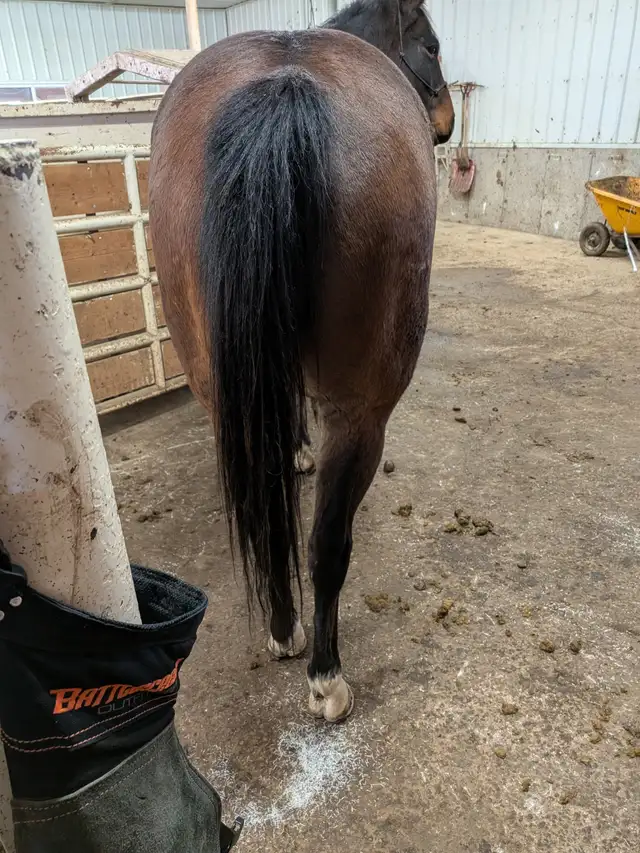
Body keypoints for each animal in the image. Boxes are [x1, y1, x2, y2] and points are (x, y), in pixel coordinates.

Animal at [149, 0, 454, 723]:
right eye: (430, 45)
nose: (448, 123)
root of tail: (284, 86)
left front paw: (296, 451)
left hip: (219, 387)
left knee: (267, 516)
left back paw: (283, 630)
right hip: (362, 410)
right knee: (326, 542)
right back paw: (324, 672)